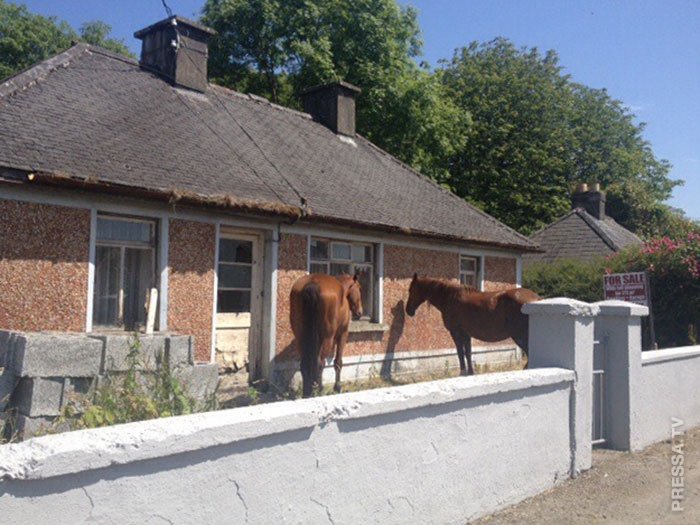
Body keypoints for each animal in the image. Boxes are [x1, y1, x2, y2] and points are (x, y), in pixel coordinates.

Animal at [404, 276, 540, 374]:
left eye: (411, 290)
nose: (408, 310)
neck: (450, 298)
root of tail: (536, 299)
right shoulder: (466, 334)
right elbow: (468, 353)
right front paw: (470, 372)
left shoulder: (456, 332)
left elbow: (460, 353)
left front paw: (462, 372)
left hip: (520, 336)